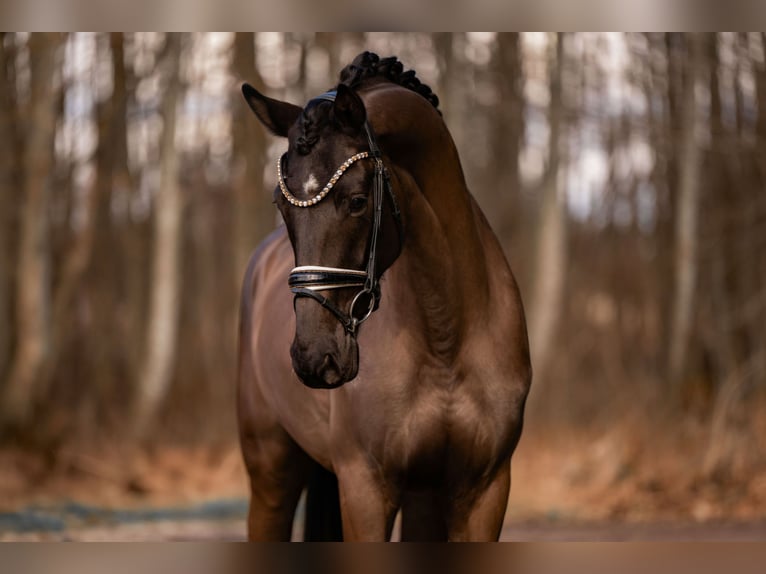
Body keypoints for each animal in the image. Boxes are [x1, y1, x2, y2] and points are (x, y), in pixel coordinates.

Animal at [237, 52, 531, 541]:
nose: (314, 357)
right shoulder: (366, 488)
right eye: (280, 204)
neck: (446, 338)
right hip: (271, 471)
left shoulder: (484, 491)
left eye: (358, 201)